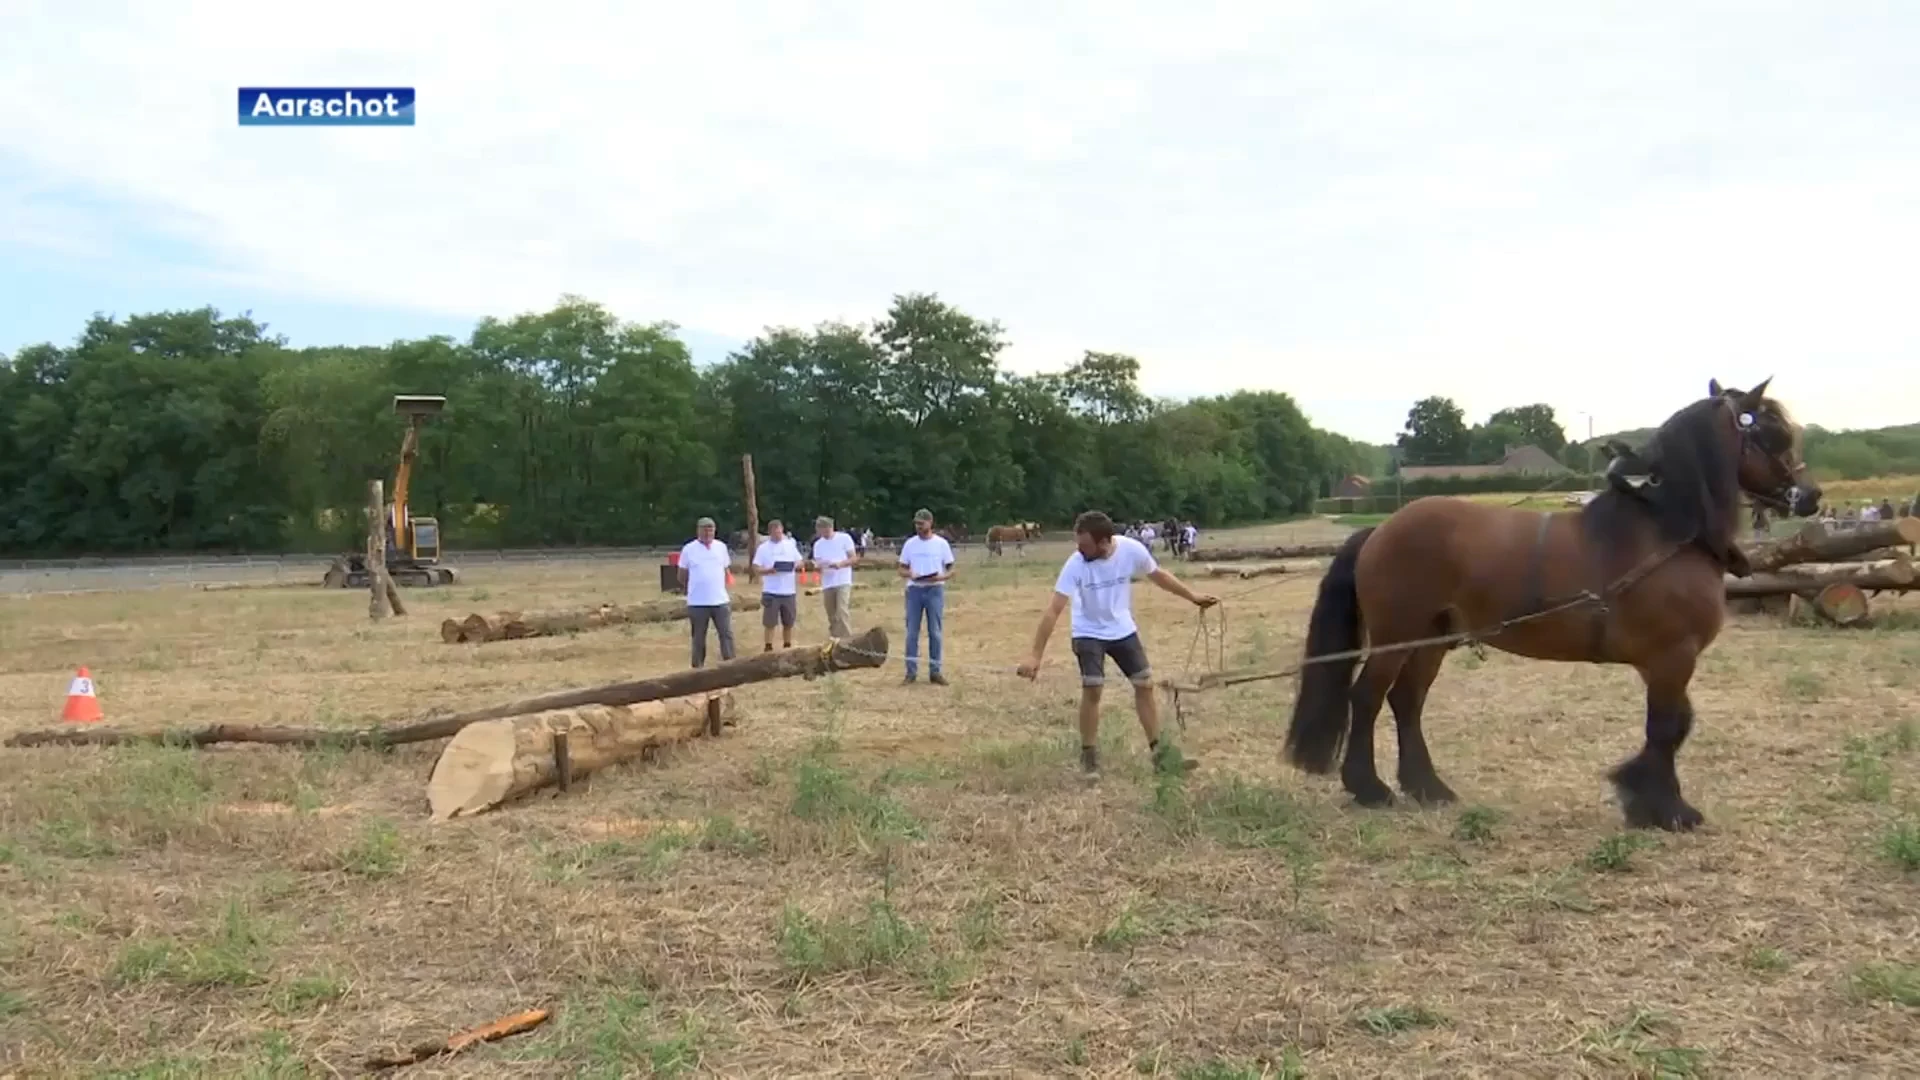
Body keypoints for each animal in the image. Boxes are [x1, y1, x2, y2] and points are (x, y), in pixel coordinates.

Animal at [1290, 380, 1812, 834]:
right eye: (1774, 434)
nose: (1809, 497)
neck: (1665, 531)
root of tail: (1380, 529)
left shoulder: (1666, 663)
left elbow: (1672, 725)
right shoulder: (1672, 657)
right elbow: (1667, 728)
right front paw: (1665, 808)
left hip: (1432, 638)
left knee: (1407, 701)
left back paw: (1428, 787)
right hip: (1396, 635)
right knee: (1367, 697)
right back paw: (1369, 788)